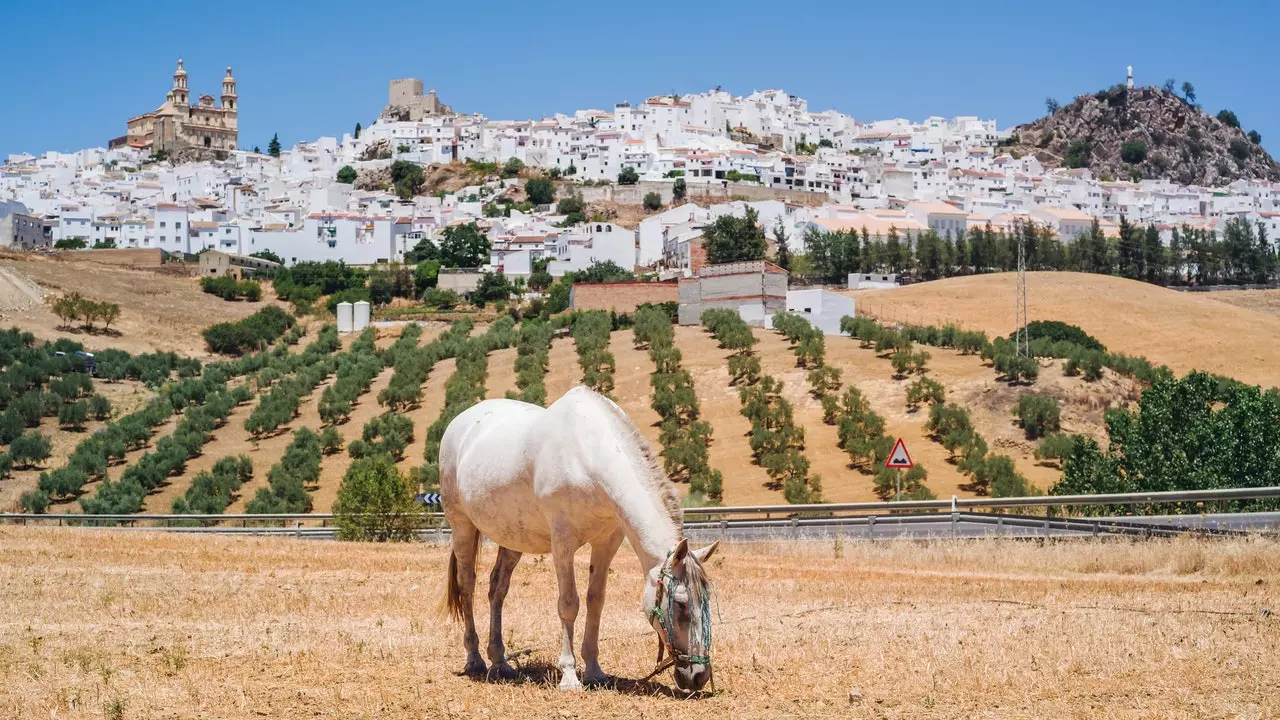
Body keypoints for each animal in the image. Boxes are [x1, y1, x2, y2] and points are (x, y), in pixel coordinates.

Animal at [440, 384, 721, 686]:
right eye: (680, 604)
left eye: (706, 601)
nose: (698, 676)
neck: (587, 455)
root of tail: (460, 423)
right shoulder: (563, 542)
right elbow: (569, 603)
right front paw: (569, 674)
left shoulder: (607, 542)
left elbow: (595, 601)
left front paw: (595, 670)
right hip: (462, 526)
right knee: (467, 585)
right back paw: (475, 659)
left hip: (512, 538)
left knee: (497, 589)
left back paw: (500, 662)